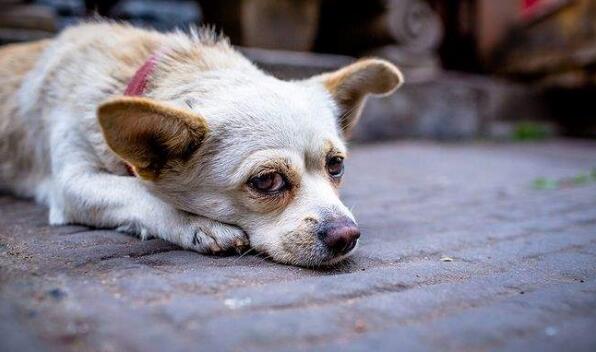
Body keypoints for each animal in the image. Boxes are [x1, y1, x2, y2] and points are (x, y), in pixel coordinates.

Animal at [0, 22, 402, 266]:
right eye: (266, 181)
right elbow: (137, 191)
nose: (347, 235)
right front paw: (199, 224)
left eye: (336, 165)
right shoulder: (72, 183)